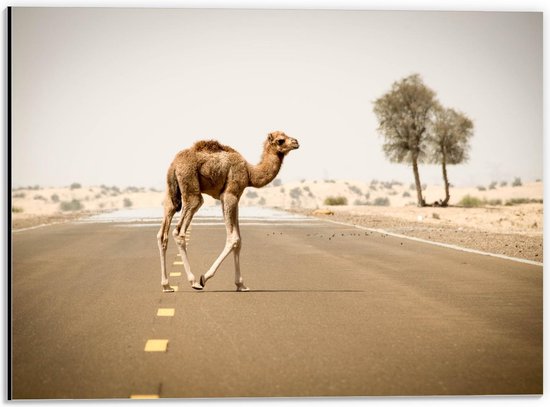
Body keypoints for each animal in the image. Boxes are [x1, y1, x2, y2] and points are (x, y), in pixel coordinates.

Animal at [155, 131, 302, 294]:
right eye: (281, 140)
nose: (296, 142)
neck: (250, 173)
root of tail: (174, 165)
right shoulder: (229, 195)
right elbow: (233, 239)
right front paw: (205, 277)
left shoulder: (235, 198)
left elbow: (239, 240)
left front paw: (241, 285)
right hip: (191, 188)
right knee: (179, 231)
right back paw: (194, 282)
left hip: (171, 193)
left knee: (163, 233)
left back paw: (166, 286)